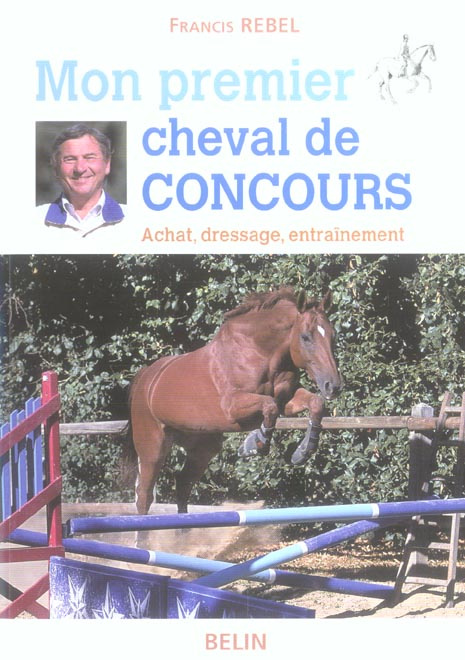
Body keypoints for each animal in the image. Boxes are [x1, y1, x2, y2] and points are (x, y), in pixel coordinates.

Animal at [128, 287, 343, 514]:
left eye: (332, 336)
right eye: (305, 337)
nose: (333, 386)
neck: (259, 352)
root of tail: (146, 377)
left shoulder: (287, 398)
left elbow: (315, 404)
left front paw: (302, 452)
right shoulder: (232, 407)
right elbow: (269, 406)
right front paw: (253, 444)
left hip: (203, 447)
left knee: (183, 484)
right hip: (153, 446)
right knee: (144, 495)